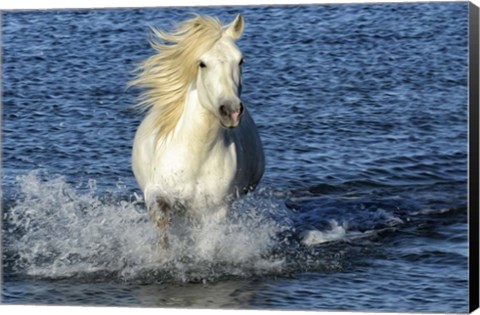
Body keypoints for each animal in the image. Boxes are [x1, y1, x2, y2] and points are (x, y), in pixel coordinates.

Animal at [131, 14, 264, 247]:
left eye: (241, 60)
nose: (231, 111)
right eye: (202, 64)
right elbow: (163, 229)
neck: (196, 156)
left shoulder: (215, 211)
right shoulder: (158, 194)